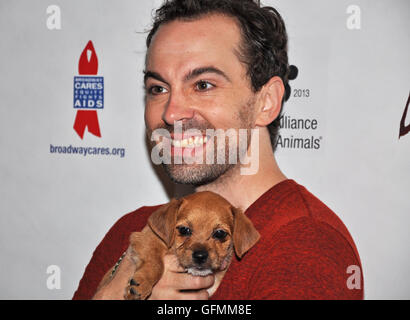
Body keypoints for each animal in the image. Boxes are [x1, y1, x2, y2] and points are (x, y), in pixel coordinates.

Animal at [99, 192, 260, 300]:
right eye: (184, 230)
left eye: (220, 234)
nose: (200, 256)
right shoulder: (147, 239)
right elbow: (156, 264)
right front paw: (142, 284)